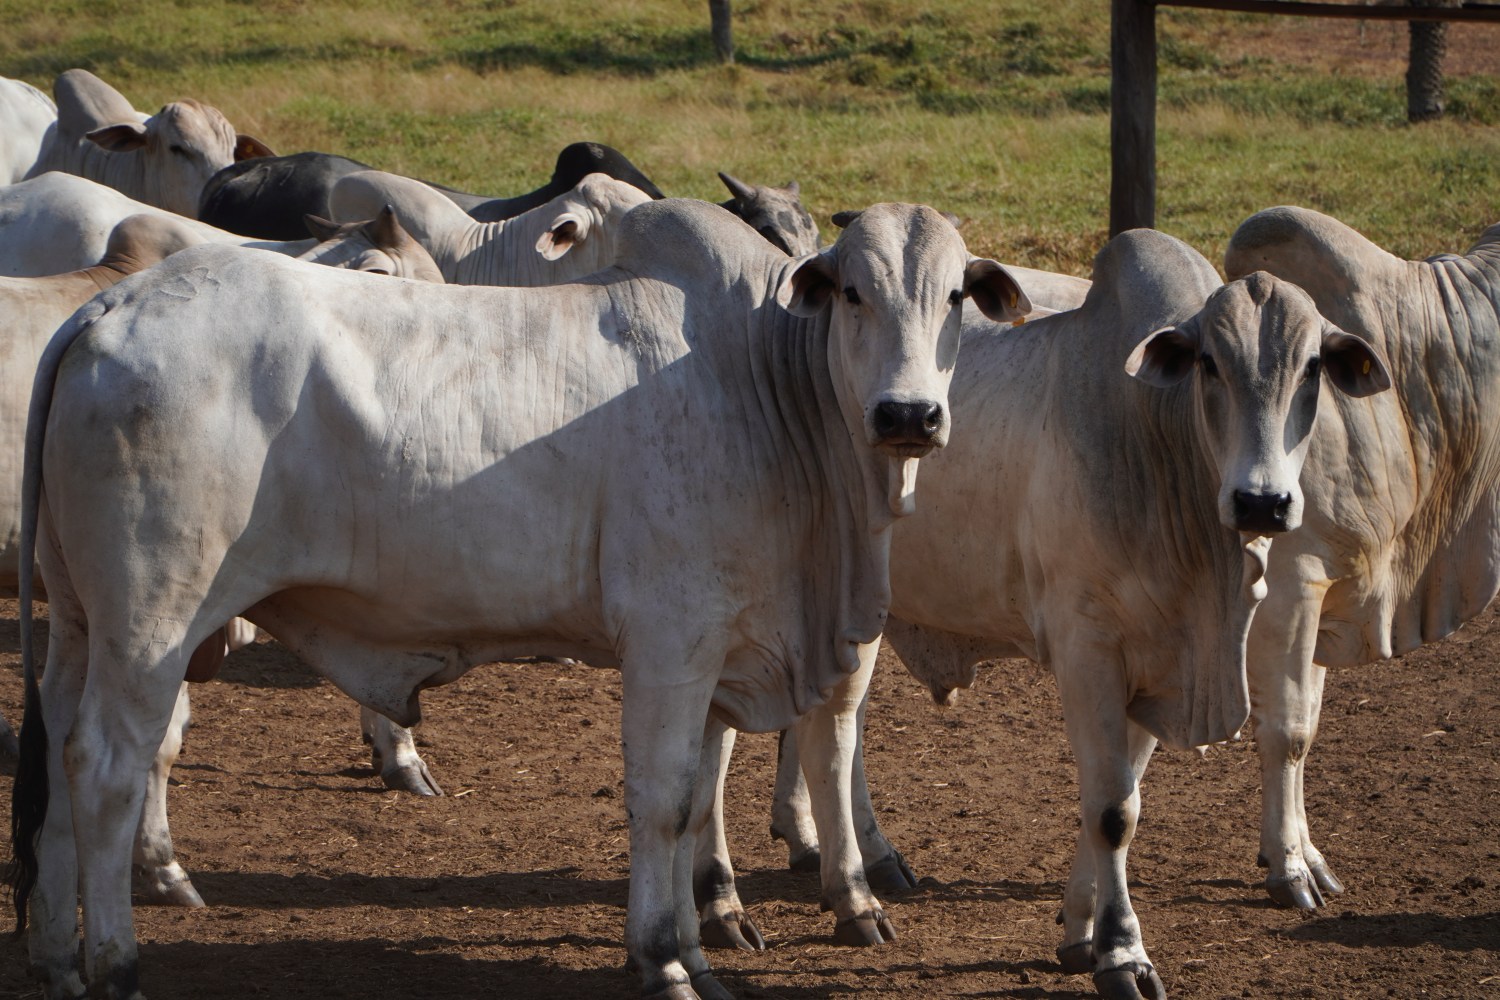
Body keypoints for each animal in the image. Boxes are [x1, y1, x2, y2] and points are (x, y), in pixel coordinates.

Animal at [5, 197, 1026, 1000]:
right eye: (853, 292)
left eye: (954, 298)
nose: (908, 416)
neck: (762, 383)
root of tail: (106, 309)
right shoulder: (671, 643)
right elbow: (664, 801)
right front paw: (664, 959)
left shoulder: (722, 651)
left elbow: (701, 800)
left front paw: (705, 941)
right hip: (152, 623)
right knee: (107, 767)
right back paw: (118, 965)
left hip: (83, 627)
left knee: (55, 746)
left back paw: (55, 956)